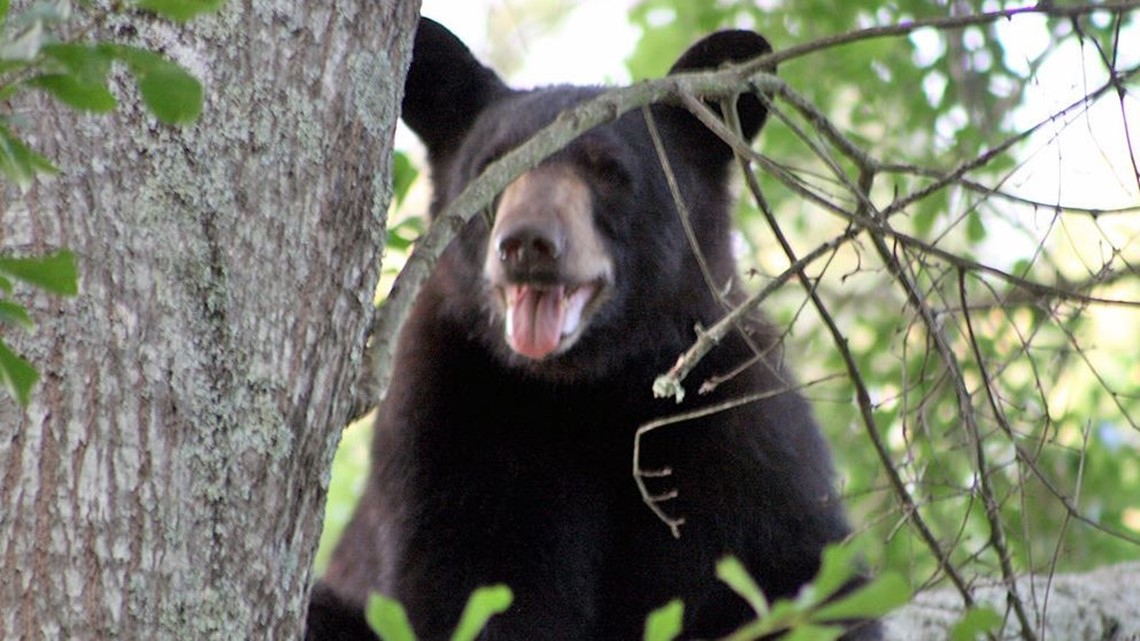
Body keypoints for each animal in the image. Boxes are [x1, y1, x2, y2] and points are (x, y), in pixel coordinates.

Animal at [307, 16, 875, 638]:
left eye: (609, 171)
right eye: (492, 168)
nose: (527, 243)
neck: (589, 389)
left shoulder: (744, 437)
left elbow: (801, 576)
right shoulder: (451, 434)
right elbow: (475, 587)